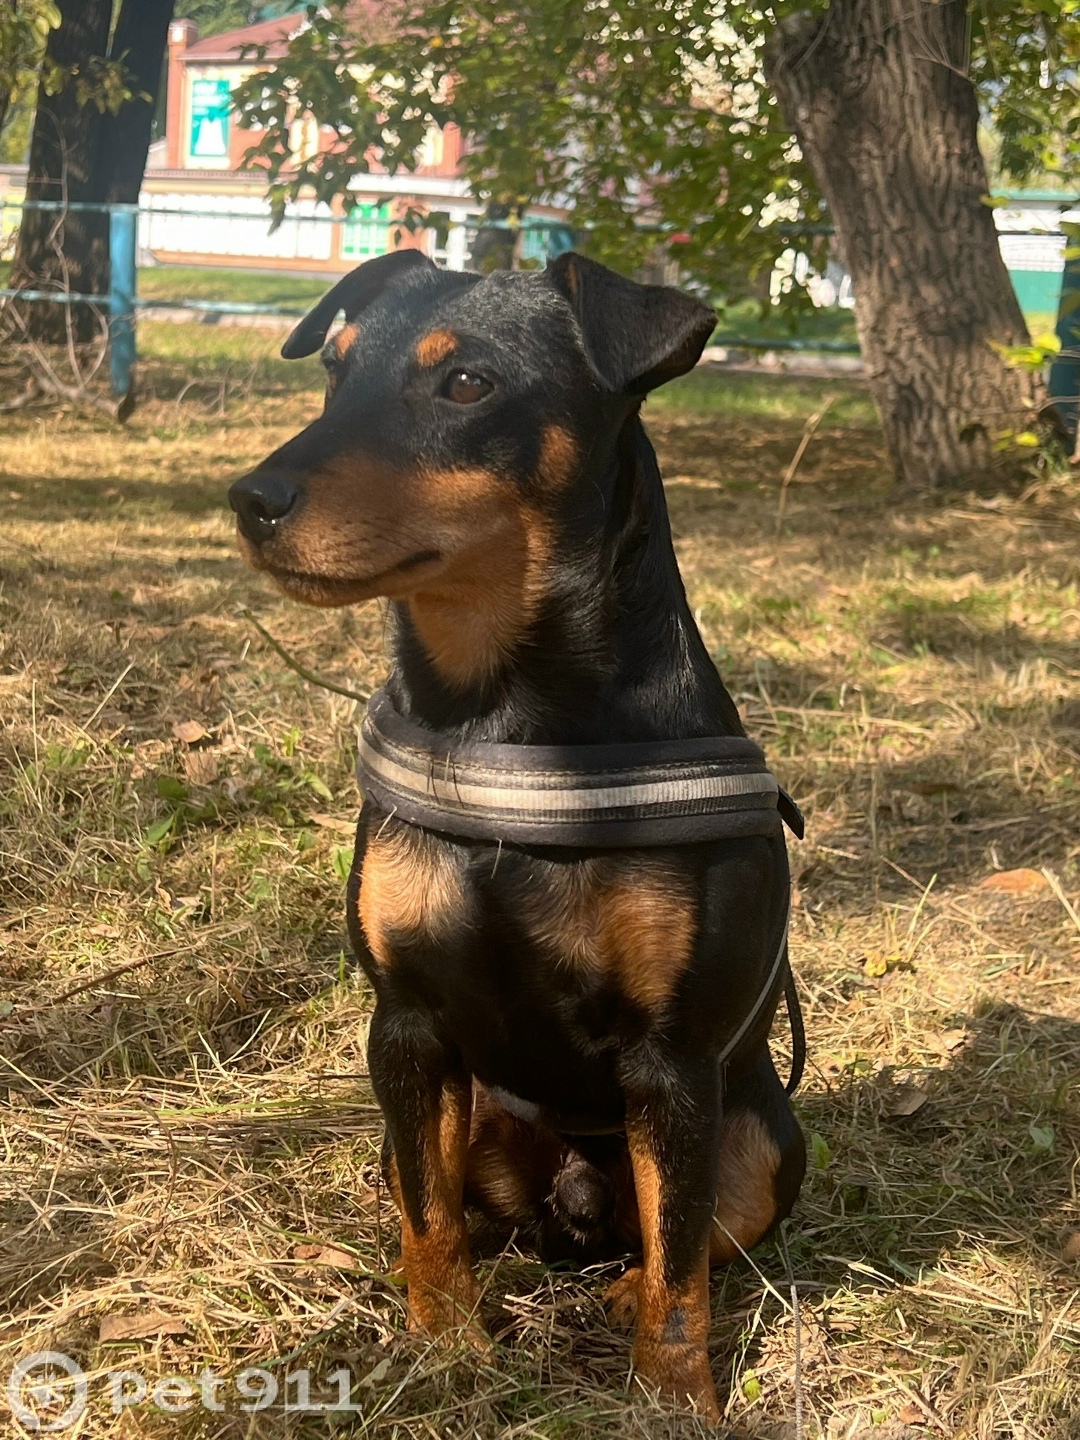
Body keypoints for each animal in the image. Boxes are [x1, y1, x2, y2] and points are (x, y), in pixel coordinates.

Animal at [229, 249, 806, 1423]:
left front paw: (675, 1399)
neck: (499, 716)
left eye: (468, 384)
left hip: (762, 1132)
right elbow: (430, 1218)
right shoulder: (405, 1027)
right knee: (458, 1204)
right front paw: (444, 1349)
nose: (250, 499)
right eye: (335, 371)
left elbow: (683, 1266)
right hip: (463, 1116)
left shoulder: (675, 1066)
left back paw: (619, 1292)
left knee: (686, 1238)